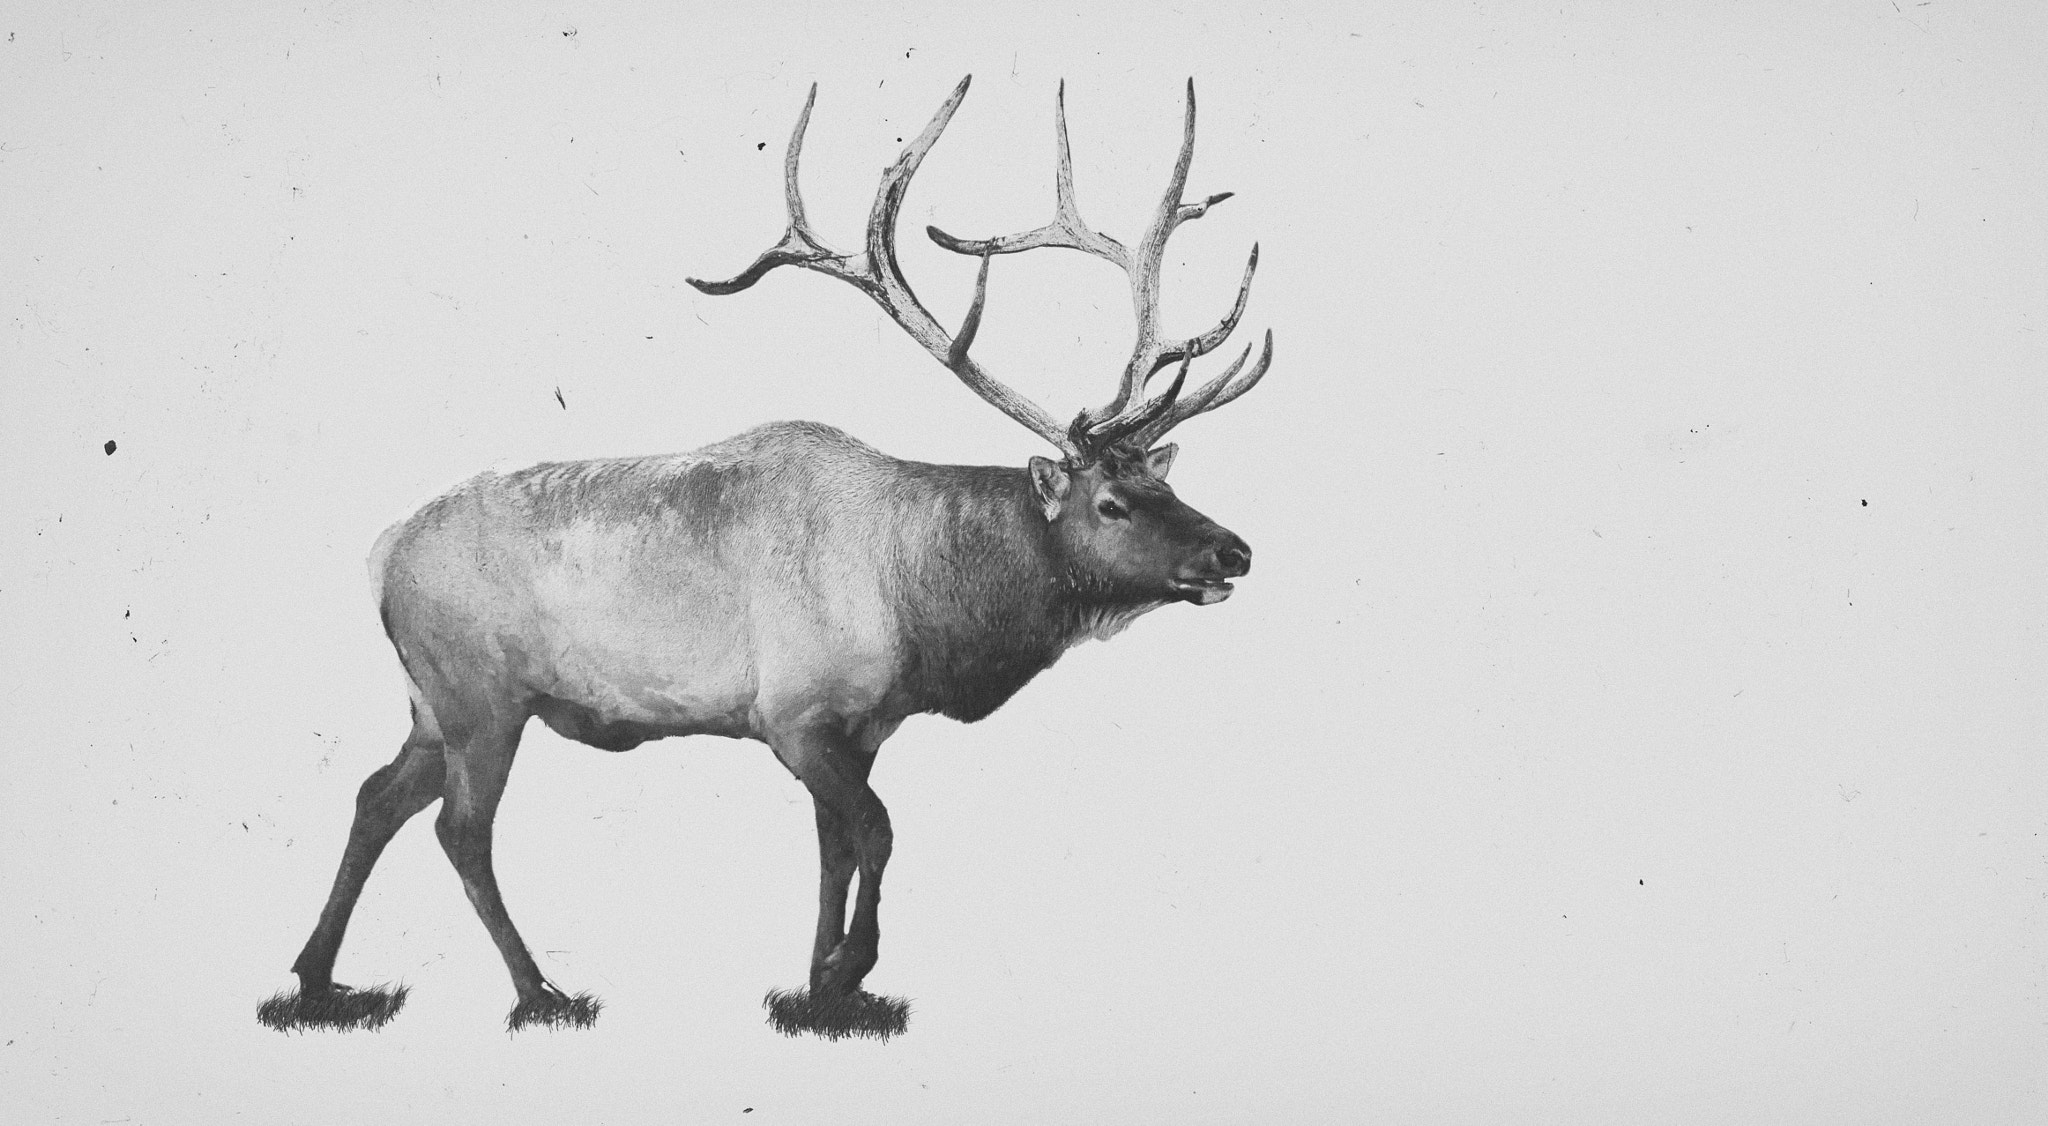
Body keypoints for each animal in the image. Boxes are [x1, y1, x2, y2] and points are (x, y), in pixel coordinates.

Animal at [260, 74, 1272, 1039]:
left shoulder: (862, 726)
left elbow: (836, 849)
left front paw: (819, 985)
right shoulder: (794, 713)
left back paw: (316, 975)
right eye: (1111, 502)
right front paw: (848, 968)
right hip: (481, 697)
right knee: (460, 829)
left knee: (375, 797)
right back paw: (538, 989)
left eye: (1164, 485)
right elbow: (878, 833)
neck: (926, 608)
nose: (1235, 551)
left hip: (431, 704)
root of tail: (381, 551)